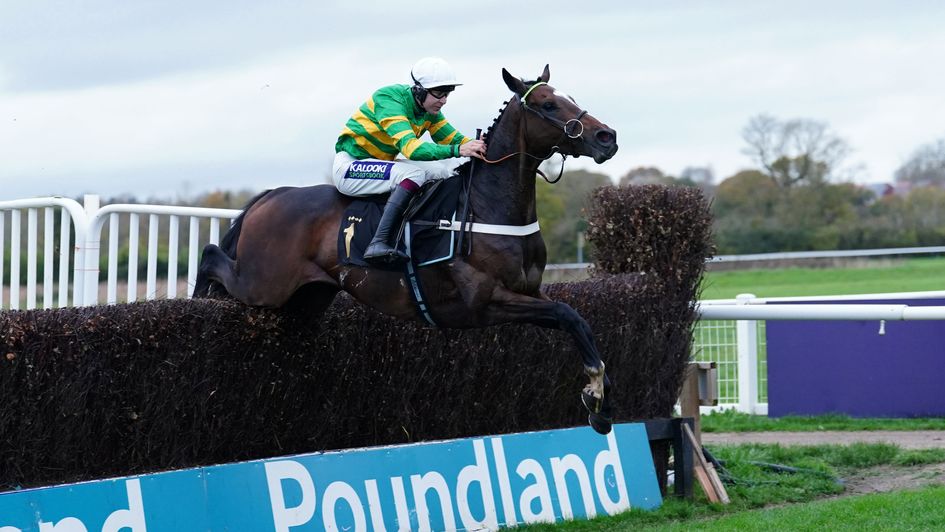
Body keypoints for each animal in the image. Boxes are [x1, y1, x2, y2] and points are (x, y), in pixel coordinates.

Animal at [194, 64, 620, 434]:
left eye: (570, 96)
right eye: (548, 104)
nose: (607, 137)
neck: (486, 205)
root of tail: (272, 195)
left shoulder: (528, 292)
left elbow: (574, 320)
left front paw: (600, 401)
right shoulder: (484, 301)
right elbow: (568, 314)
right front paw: (596, 391)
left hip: (305, 299)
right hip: (264, 283)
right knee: (212, 254)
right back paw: (200, 299)